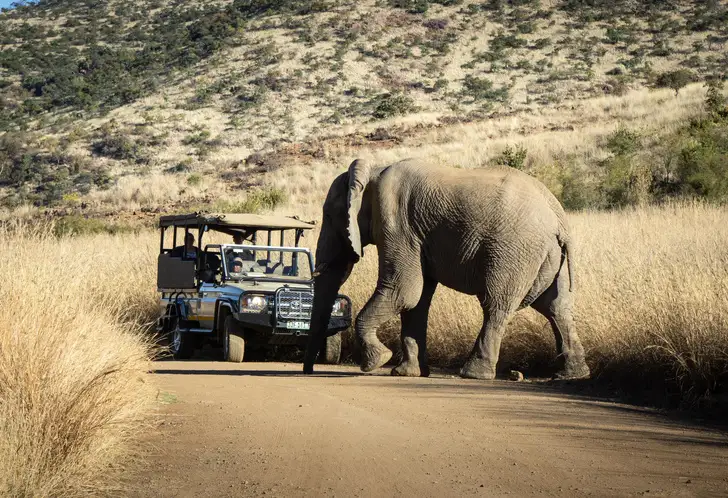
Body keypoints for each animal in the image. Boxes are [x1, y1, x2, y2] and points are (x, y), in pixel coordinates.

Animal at [302, 158, 592, 380]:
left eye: (329, 216)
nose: (308, 371)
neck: (374, 170)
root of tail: (558, 219)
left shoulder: (395, 221)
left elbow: (404, 291)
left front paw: (377, 362)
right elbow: (417, 300)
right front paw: (407, 373)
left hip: (514, 251)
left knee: (496, 305)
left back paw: (473, 374)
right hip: (546, 256)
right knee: (556, 307)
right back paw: (572, 375)